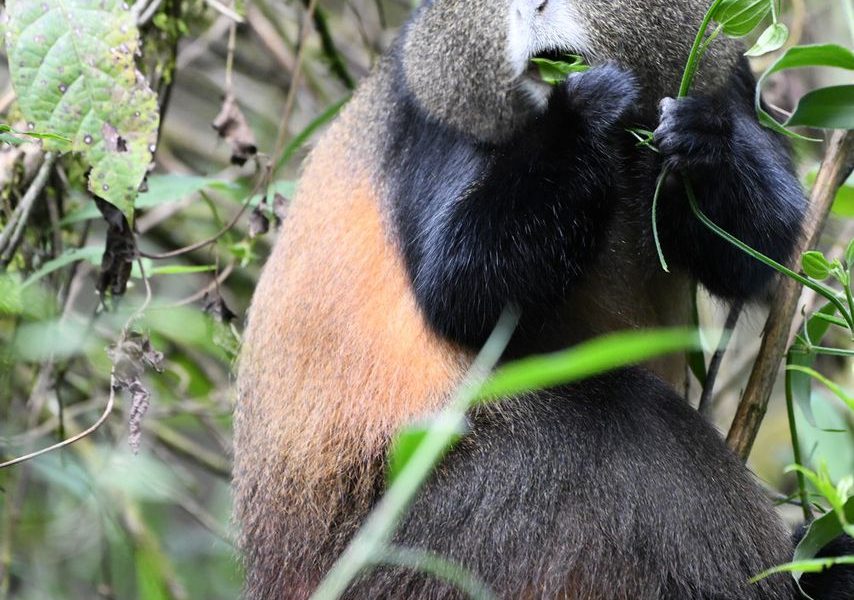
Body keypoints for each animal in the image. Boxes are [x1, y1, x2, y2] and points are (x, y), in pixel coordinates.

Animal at [233, 0, 853, 598]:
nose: (530, 8)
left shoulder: (727, 77)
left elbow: (761, 251)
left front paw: (705, 143)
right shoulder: (437, 124)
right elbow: (460, 290)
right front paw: (581, 114)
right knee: (634, 432)